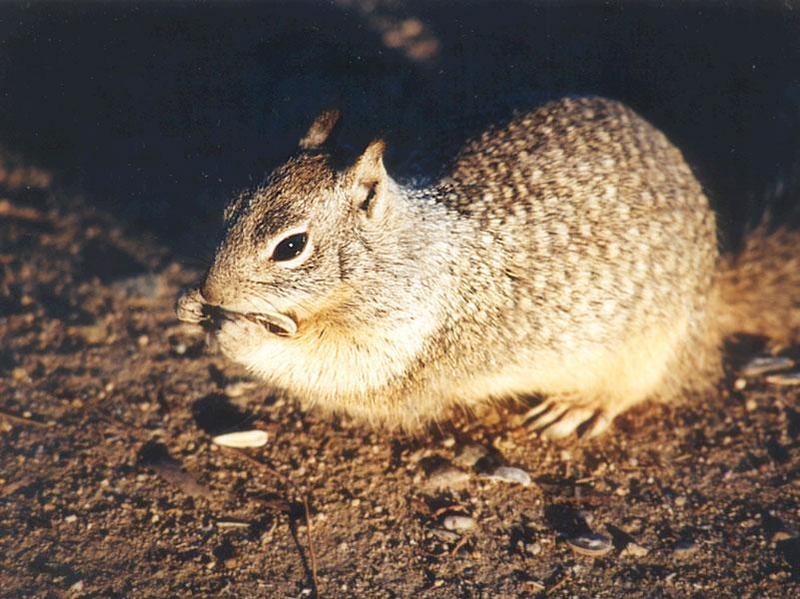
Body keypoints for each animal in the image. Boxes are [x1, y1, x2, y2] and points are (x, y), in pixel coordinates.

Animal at [177, 97, 800, 436]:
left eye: (291, 247)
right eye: (229, 207)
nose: (212, 288)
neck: (406, 251)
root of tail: (712, 297)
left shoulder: (412, 339)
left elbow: (347, 373)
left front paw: (237, 333)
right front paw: (189, 305)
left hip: (653, 347)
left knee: (640, 387)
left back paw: (581, 405)